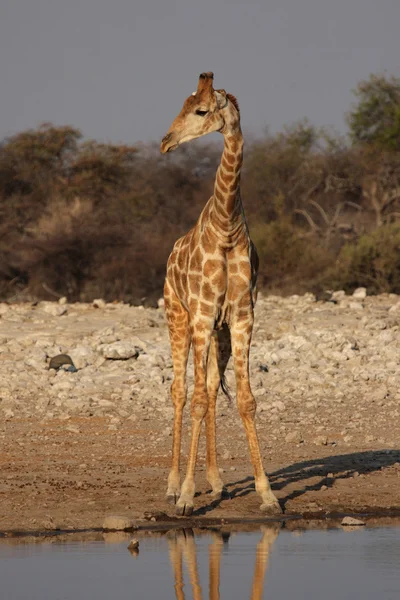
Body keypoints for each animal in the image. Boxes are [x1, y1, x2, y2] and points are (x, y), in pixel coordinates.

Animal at [159, 71, 282, 516]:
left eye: (200, 110)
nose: (166, 142)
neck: (227, 227)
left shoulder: (242, 315)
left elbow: (244, 400)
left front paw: (267, 494)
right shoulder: (199, 313)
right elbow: (194, 399)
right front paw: (184, 498)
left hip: (219, 332)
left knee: (211, 388)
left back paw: (215, 482)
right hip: (177, 318)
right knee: (180, 391)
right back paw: (172, 484)